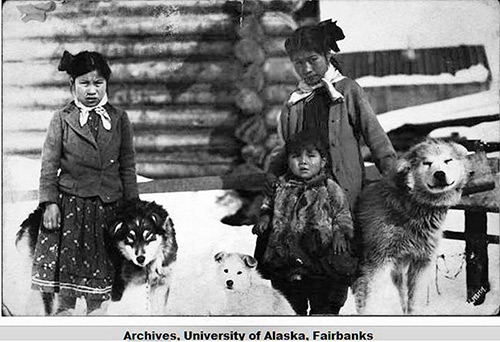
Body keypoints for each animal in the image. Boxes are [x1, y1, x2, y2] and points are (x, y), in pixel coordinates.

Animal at [352, 139, 468, 316]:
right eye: (426, 163)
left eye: (448, 160)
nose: (439, 174)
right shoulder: (378, 261)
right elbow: (370, 298)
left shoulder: (420, 261)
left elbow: (412, 299)